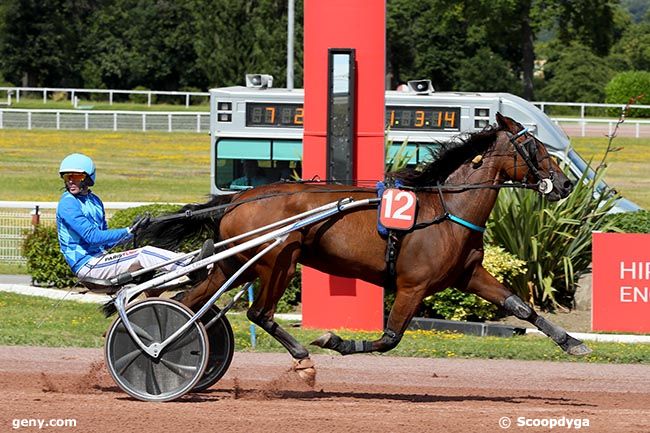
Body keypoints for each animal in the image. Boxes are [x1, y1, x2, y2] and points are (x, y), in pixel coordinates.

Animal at [139, 113, 588, 380]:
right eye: (534, 148)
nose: (566, 184)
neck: (446, 208)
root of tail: (237, 199)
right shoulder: (412, 285)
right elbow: (390, 338)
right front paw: (334, 341)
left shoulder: (467, 274)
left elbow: (521, 306)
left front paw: (572, 342)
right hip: (278, 261)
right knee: (258, 313)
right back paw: (301, 356)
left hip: (236, 263)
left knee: (188, 303)